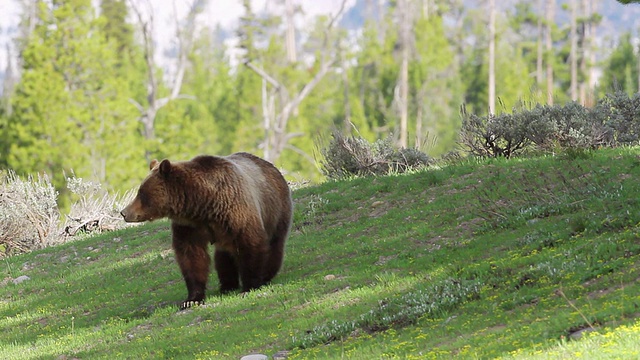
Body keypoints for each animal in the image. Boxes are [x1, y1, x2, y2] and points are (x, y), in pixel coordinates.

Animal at [120, 152, 292, 310]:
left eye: (141, 192)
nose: (124, 212)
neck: (203, 205)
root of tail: (271, 166)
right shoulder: (189, 226)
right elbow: (191, 257)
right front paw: (192, 299)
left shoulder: (237, 211)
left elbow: (250, 243)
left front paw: (250, 285)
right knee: (223, 256)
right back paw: (227, 284)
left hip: (276, 209)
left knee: (275, 243)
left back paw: (266, 274)